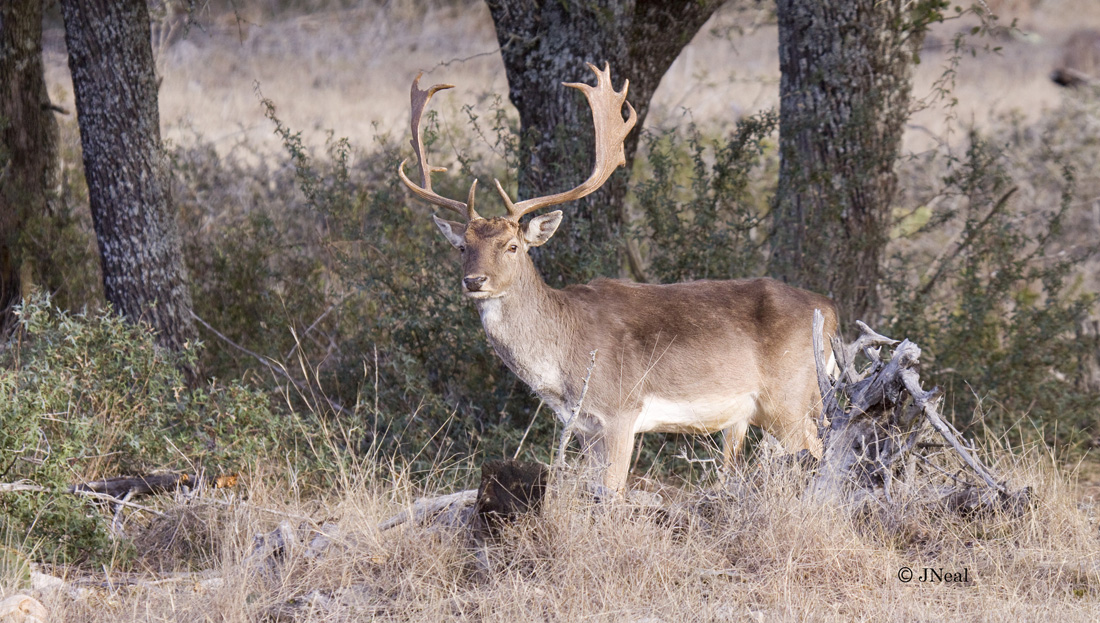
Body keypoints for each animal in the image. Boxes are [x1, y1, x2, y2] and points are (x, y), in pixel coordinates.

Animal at [398, 63, 840, 492]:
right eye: (462, 246)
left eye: (512, 246)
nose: (475, 281)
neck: (563, 354)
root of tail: (831, 310)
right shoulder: (583, 425)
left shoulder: (620, 408)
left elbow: (613, 494)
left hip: (791, 398)